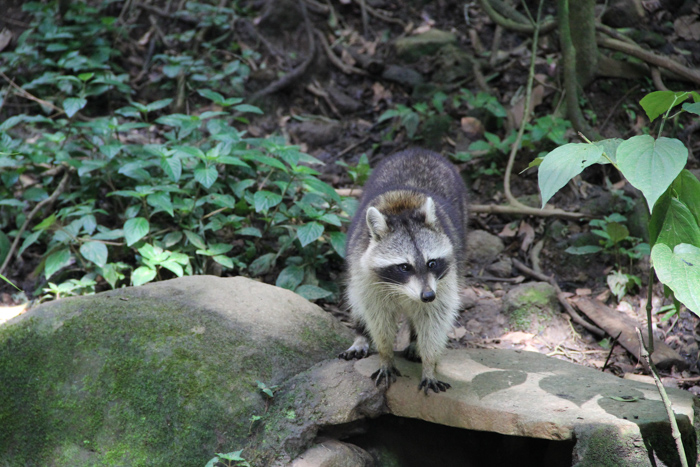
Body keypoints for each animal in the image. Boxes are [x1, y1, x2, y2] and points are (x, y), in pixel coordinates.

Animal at [340, 149, 470, 394]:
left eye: (431, 263)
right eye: (404, 267)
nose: (427, 295)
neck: (402, 208)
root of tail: (419, 151)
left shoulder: (444, 280)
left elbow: (435, 317)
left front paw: (429, 363)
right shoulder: (366, 275)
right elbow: (377, 314)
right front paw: (385, 355)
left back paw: (415, 342)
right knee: (355, 298)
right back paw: (360, 335)